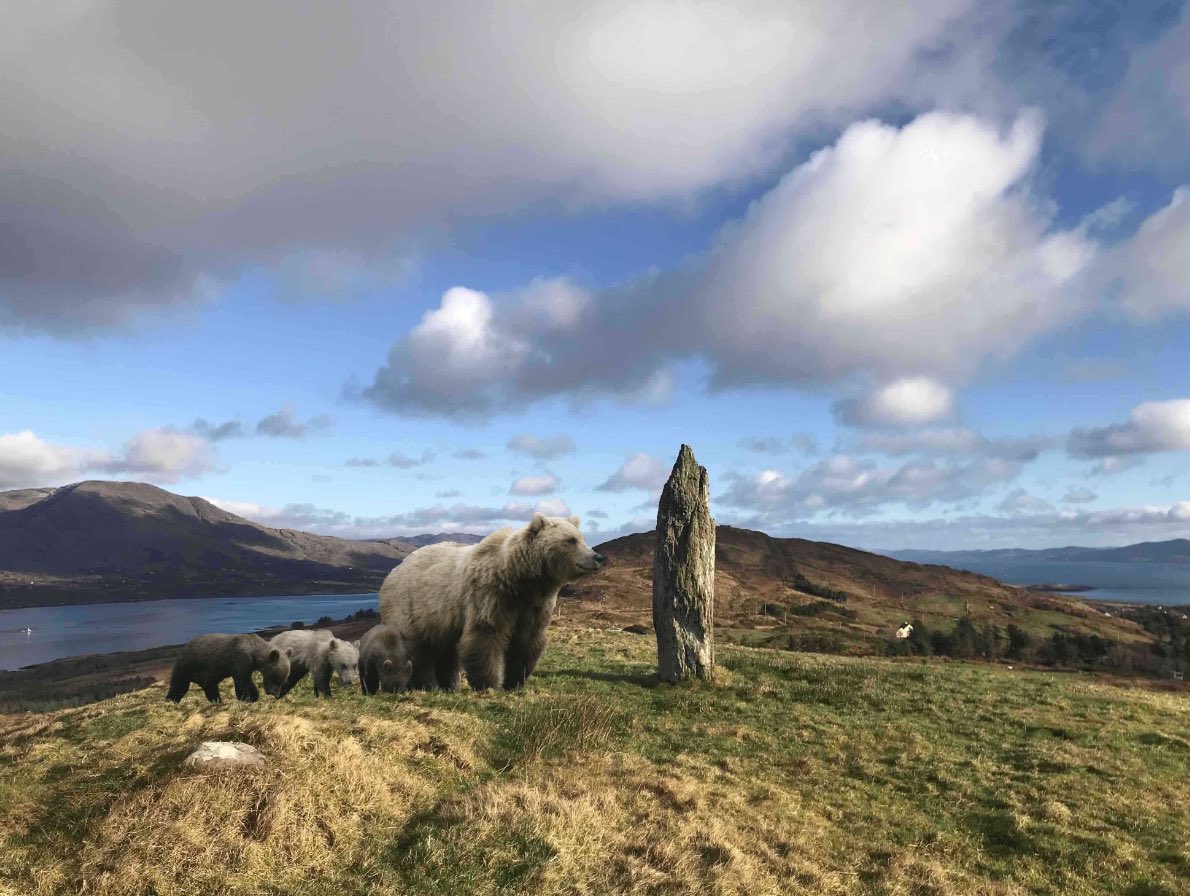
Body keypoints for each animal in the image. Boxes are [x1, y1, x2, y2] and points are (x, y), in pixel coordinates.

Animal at [378, 513, 605, 692]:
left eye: (582, 538)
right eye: (571, 540)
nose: (598, 557)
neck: (522, 580)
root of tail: (393, 571)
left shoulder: (533, 605)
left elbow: (527, 641)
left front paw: (514, 683)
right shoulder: (490, 595)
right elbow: (485, 637)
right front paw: (489, 684)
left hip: (442, 618)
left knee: (446, 652)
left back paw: (449, 685)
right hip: (412, 607)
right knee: (418, 649)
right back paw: (426, 684)